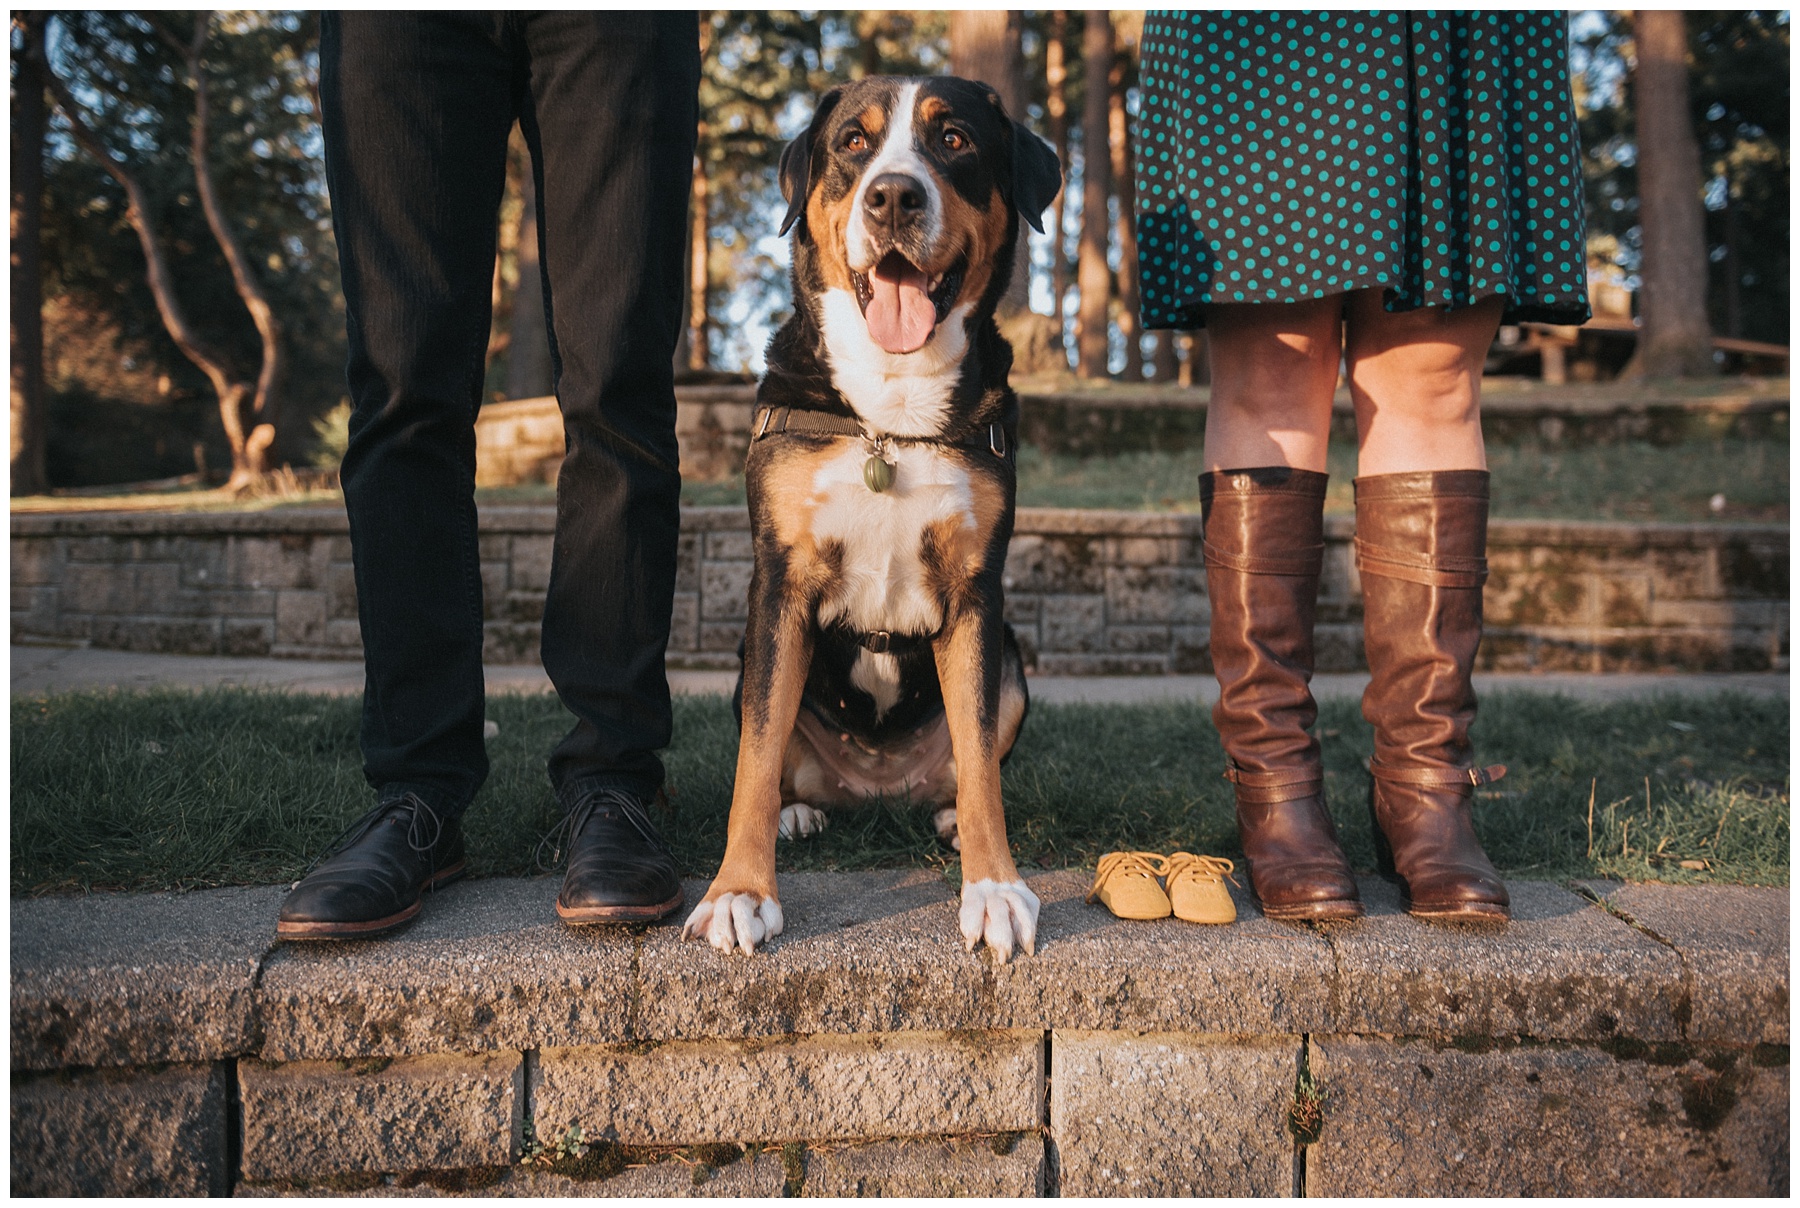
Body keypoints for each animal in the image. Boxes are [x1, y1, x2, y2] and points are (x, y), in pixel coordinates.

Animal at [680, 75, 1058, 964]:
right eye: (854, 142)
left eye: (954, 139)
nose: (893, 197)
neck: (890, 410)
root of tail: (875, 789)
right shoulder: (778, 592)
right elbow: (754, 758)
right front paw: (738, 893)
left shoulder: (977, 598)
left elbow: (982, 763)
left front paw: (995, 888)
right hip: (750, 663)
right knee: (780, 757)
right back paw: (798, 813)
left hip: (1013, 660)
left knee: (969, 762)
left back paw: (948, 818)